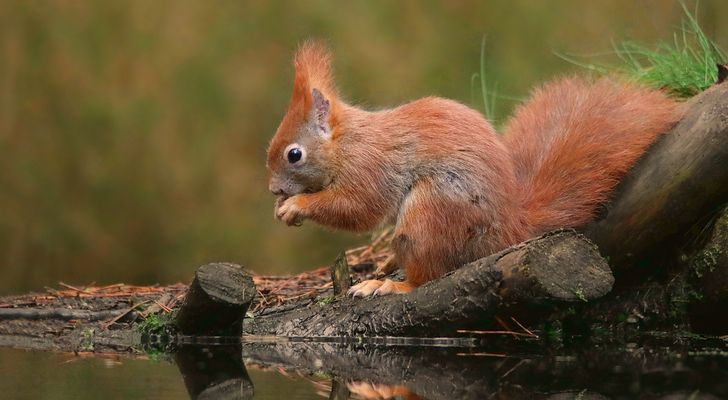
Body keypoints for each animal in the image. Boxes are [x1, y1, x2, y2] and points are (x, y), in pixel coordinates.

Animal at [266, 41, 684, 297]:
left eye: (294, 155)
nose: (273, 190)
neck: (345, 142)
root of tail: (509, 231)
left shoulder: (371, 166)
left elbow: (357, 208)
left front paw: (296, 207)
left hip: (431, 214)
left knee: (428, 275)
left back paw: (391, 285)